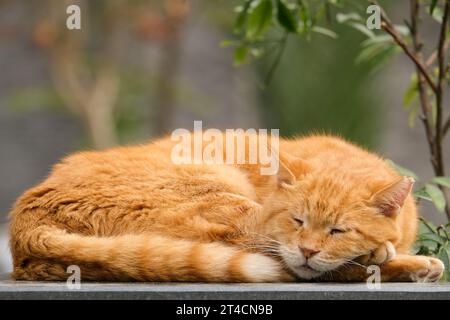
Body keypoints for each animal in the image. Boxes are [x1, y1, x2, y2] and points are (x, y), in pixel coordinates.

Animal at [8, 133, 444, 282]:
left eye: (338, 230)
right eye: (296, 220)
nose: (307, 249)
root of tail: (23, 224)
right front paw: (386, 255)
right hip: (221, 198)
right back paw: (410, 264)